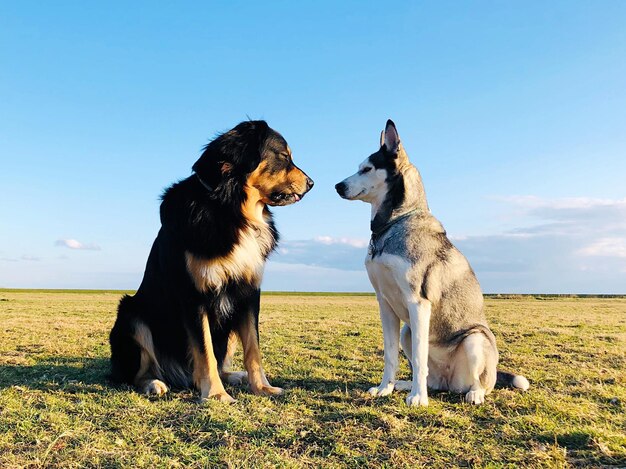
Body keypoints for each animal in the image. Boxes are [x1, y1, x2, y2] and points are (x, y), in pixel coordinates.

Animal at [109, 119, 312, 400]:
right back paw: (154, 383)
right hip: (131, 314)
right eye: (283, 156)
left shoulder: (248, 293)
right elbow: (205, 352)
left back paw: (234, 376)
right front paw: (216, 395)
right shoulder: (195, 294)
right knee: (132, 374)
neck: (230, 210)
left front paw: (262, 387)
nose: (312, 183)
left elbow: (253, 349)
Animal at [336, 119, 528, 404]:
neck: (394, 223)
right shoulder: (385, 304)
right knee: (431, 377)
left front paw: (418, 399)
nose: (337, 186)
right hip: (407, 331)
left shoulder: (418, 303)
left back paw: (472, 393)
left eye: (367, 168)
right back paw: (406, 385)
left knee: (479, 382)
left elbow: (418, 358)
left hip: (474, 339)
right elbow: (390, 355)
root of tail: (449, 383)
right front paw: (384, 389)